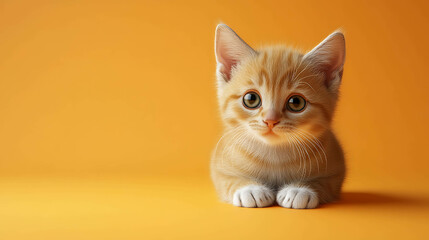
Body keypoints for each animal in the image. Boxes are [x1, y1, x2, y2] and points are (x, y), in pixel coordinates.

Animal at [209, 23, 346, 208]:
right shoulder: (219, 165)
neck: (274, 155)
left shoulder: (336, 169)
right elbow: (228, 179)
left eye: (296, 102)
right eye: (251, 99)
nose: (270, 120)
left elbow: (324, 182)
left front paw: (300, 190)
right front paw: (250, 189)